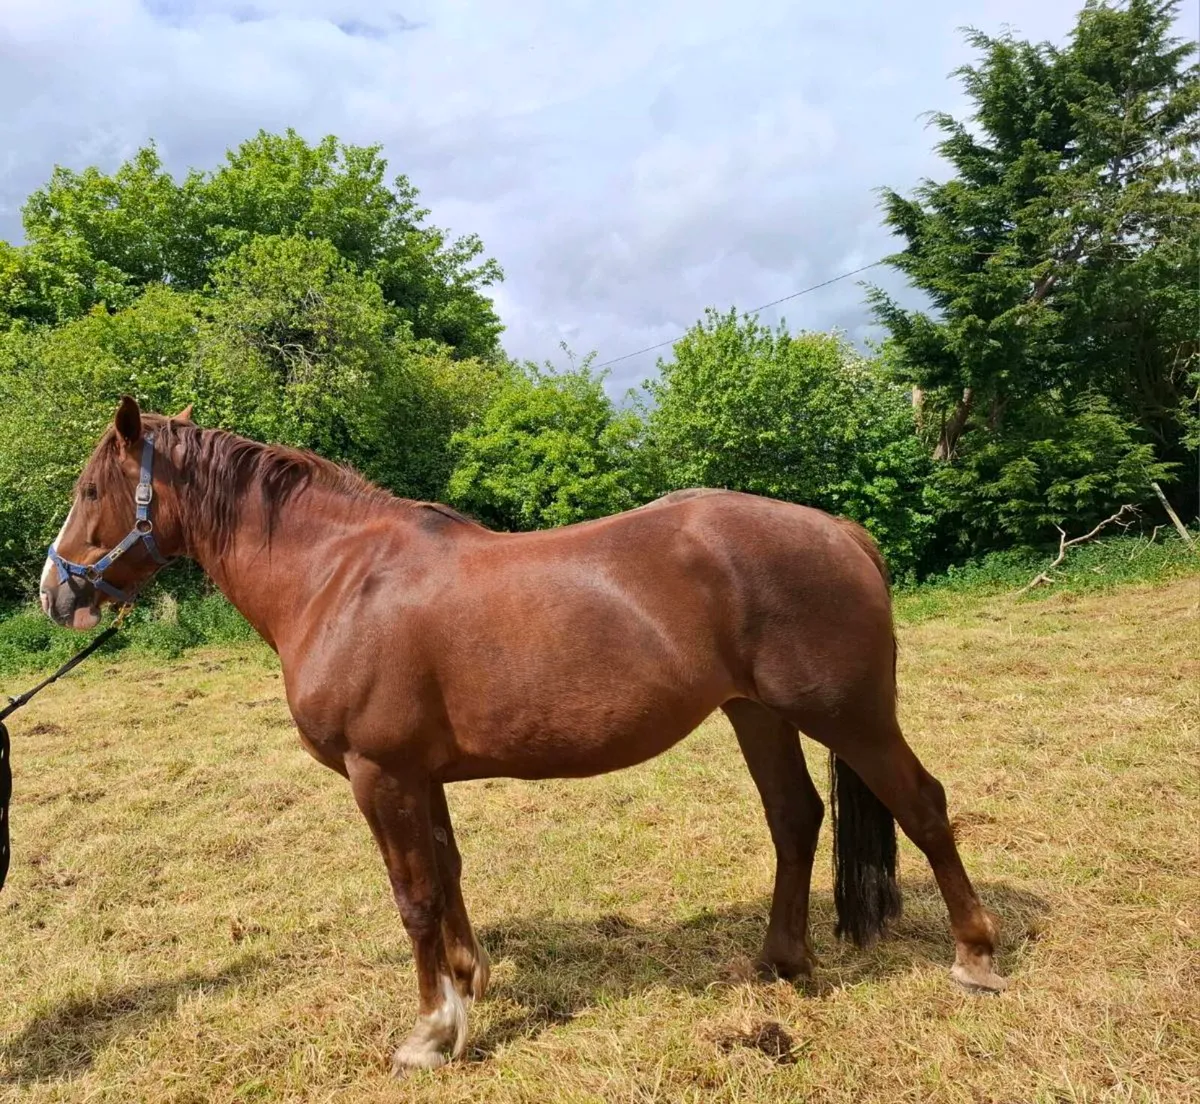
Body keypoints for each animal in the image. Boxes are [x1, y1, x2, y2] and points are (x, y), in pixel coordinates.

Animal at [38, 397, 1006, 1073]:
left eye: (88, 491)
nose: (53, 592)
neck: (339, 579)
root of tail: (840, 531)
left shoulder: (379, 773)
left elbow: (413, 896)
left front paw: (430, 1033)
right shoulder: (419, 776)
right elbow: (447, 875)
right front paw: (470, 987)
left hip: (849, 714)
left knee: (922, 806)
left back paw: (976, 957)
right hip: (758, 713)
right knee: (795, 819)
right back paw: (780, 962)